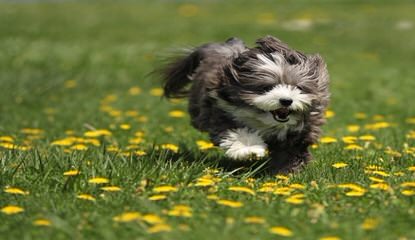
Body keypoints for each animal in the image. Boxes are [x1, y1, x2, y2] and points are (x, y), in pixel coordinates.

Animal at [161, 35, 330, 172]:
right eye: (267, 87)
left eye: (298, 87)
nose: (286, 101)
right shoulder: (220, 111)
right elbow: (234, 132)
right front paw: (249, 149)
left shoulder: (300, 132)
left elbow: (291, 151)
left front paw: (286, 172)